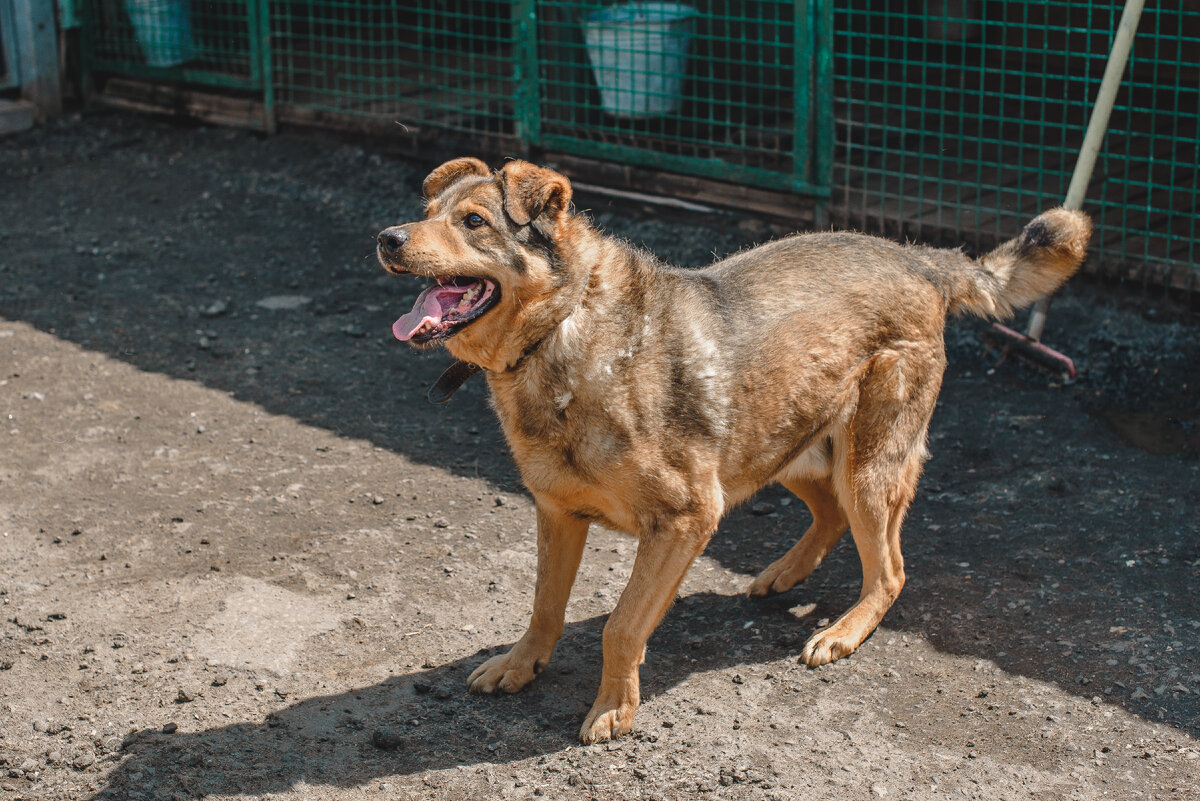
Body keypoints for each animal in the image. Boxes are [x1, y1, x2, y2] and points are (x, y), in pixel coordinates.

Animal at [379, 155, 1094, 743]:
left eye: (473, 222)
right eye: (426, 213)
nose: (387, 239)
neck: (562, 327)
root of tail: (921, 258)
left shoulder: (685, 519)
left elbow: (621, 625)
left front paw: (613, 708)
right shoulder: (559, 514)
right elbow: (543, 605)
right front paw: (521, 664)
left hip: (862, 466)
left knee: (888, 569)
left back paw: (842, 631)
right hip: (778, 444)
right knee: (829, 516)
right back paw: (784, 573)